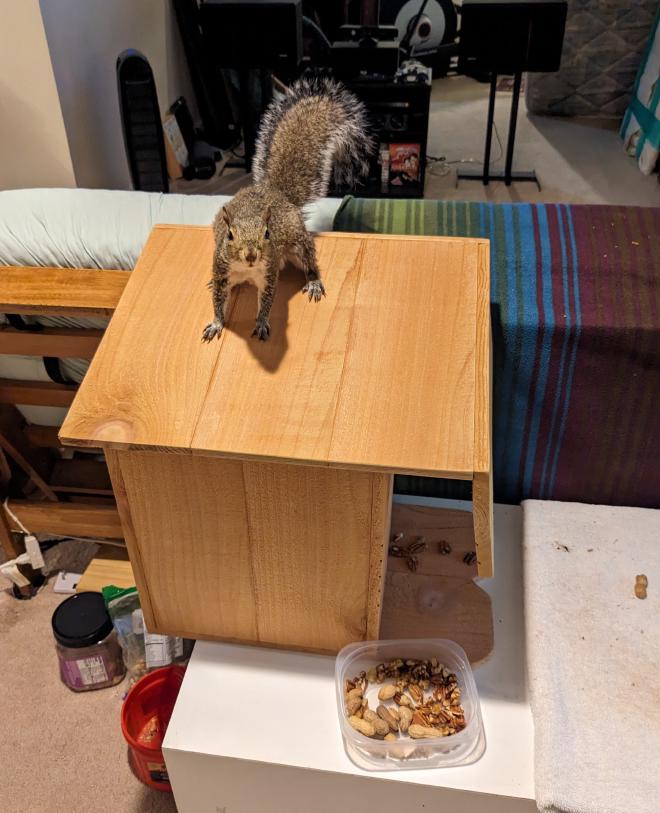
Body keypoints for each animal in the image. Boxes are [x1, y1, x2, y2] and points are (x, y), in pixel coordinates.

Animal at [202, 77, 373, 342]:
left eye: (267, 233)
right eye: (230, 235)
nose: (251, 255)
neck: (245, 269)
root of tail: (278, 194)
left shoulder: (269, 273)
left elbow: (267, 300)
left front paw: (262, 322)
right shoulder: (222, 271)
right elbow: (218, 301)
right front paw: (217, 323)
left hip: (298, 243)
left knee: (309, 260)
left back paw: (313, 281)